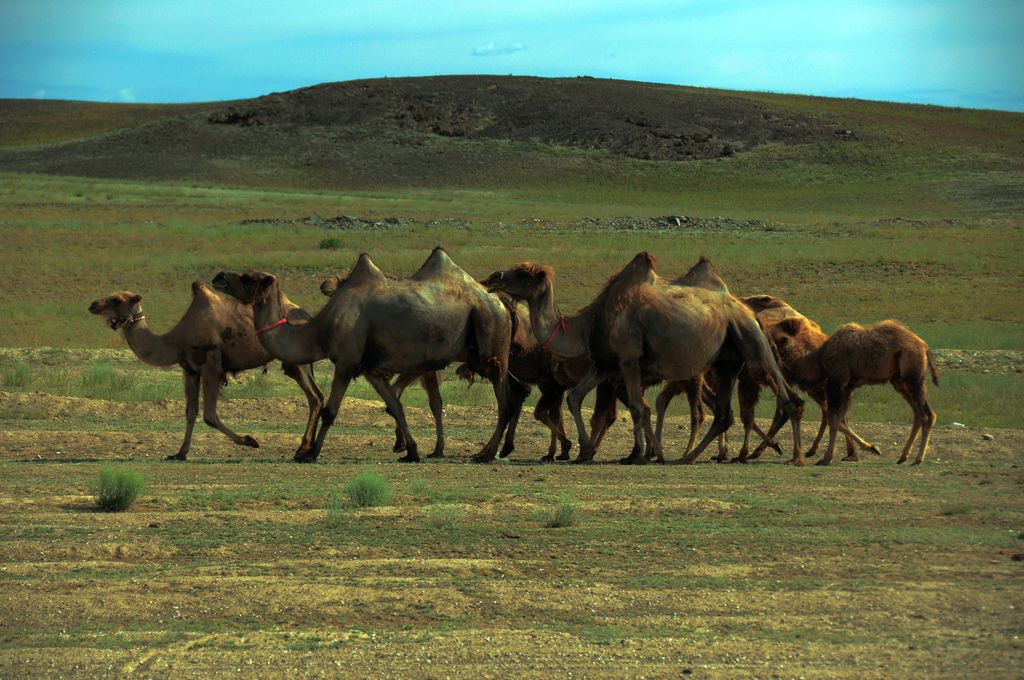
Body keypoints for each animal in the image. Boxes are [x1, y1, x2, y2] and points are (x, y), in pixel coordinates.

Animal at [87, 280, 321, 462]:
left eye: (117, 299)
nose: (92, 304)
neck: (176, 340)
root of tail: (307, 315)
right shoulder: (190, 370)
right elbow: (190, 412)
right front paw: (179, 453)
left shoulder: (211, 367)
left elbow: (209, 415)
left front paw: (250, 440)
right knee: (317, 396)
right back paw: (308, 450)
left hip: (295, 360)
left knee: (313, 397)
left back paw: (302, 450)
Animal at [212, 246, 512, 464]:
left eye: (248, 278)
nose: (219, 276)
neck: (320, 329)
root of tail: (499, 301)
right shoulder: (370, 368)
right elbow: (395, 405)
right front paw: (411, 452)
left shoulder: (346, 361)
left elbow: (331, 410)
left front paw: (311, 453)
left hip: (490, 343)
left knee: (504, 401)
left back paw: (487, 454)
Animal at [483, 251, 802, 464]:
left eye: (522, 273)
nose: (492, 277)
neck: (589, 322)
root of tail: (745, 308)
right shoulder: (604, 363)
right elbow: (575, 397)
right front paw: (584, 451)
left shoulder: (628, 359)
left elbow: (638, 406)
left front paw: (640, 454)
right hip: (727, 361)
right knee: (724, 413)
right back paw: (688, 457)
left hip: (751, 339)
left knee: (789, 399)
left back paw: (795, 456)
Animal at [765, 315, 937, 464]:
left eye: (780, 336)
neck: (818, 359)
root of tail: (924, 346)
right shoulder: (847, 388)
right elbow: (839, 419)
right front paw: (869, 448)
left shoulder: (836, 382)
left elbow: (834, 418)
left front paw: (826, 458)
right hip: (899, 381)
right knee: (919, 413)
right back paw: (903, 456)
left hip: (913, 378)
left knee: (926, 415)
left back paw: (917, 459)